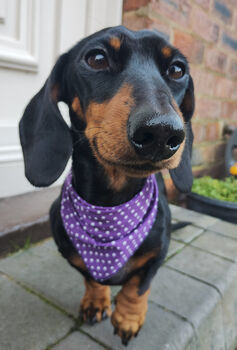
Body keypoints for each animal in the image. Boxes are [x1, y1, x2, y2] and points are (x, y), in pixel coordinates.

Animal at [19, 26, 194, 344]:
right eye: (97, 58)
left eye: (177, 69)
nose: (162, 133)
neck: (111, 206)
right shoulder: (74, 255)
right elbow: (91, 277)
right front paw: (96, 301)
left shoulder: (157, 254)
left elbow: (137, 286)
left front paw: (128, 318)